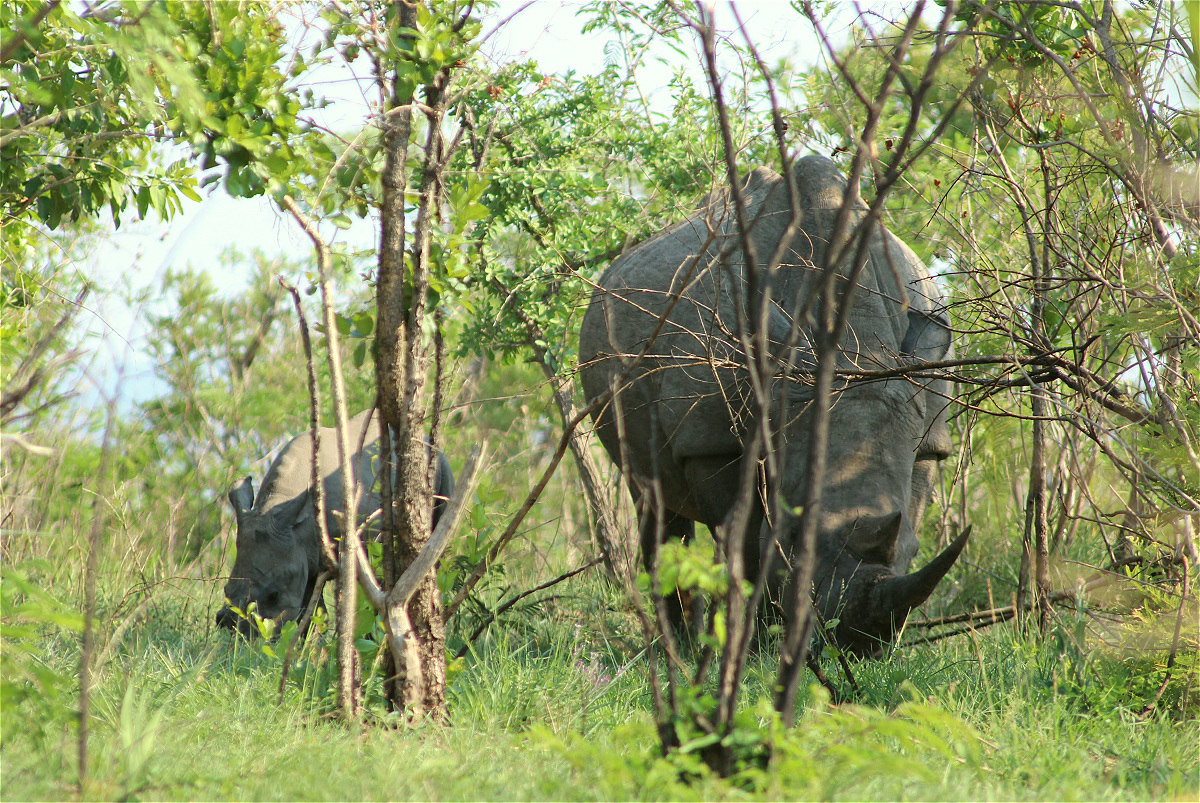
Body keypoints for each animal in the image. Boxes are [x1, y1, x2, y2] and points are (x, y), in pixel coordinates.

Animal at [216, 410, 453, 633]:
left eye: (274, 595)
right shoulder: (303, 553)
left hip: (441, 467)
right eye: (225, 590)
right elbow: (310, 614)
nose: (239, 635)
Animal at [578, 153, 964, 652]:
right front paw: (755, 645)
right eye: (794, 534)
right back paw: (677, 648)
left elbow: (907, 510)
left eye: (915, 549)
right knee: (652, 497)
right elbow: (746, 541)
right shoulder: (710, 439)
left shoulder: (927, 436)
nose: (857, 643)